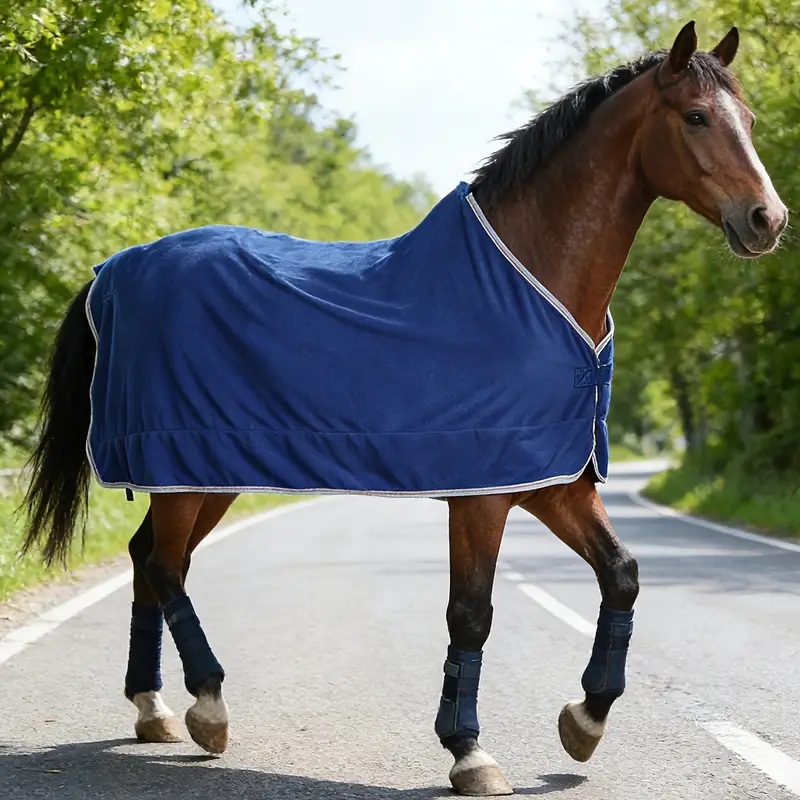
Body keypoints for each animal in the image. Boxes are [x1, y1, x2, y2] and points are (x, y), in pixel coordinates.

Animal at [21, 21, 787, 797]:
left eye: (750, 120)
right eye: (696, 116)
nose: (768, 219)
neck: (530, 280)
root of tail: (113, 269)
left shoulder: (554, 478)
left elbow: (622, 576)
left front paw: (585, 720)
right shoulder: (482, 494)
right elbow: (471, 615)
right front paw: (469, 752)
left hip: (206, 471)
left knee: (149, 559)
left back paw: (153, 709)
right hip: (181, 464)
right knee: (166, 566)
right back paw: (209, 706)